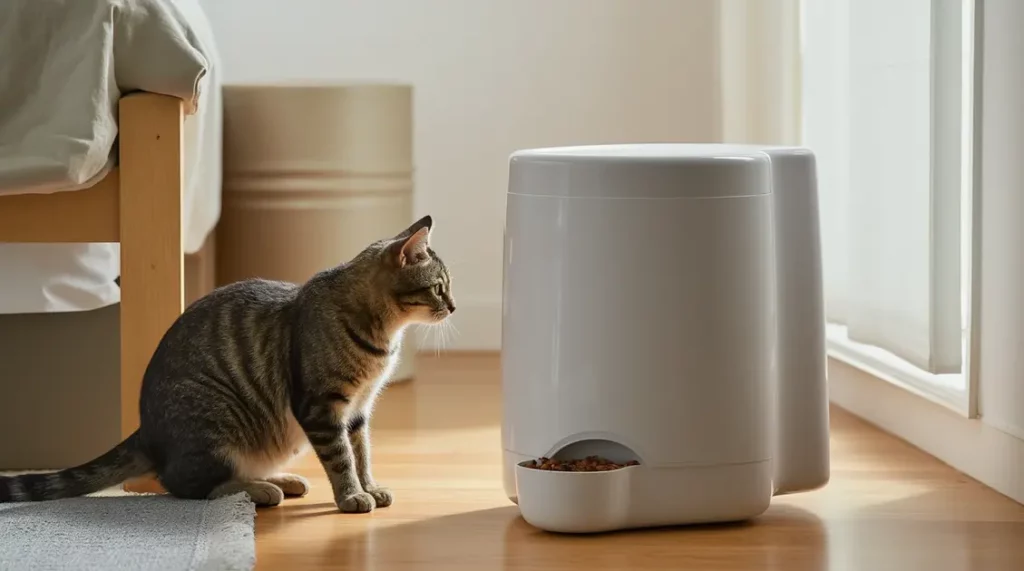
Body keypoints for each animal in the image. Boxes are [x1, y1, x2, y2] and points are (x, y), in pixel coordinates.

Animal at [0, 215, 456, 515]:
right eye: (438, 288)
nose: (453, 307)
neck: (382, 338)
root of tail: (147, 432)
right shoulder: (322, 408)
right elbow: (342, 458)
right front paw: (350, 496)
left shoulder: (359, 410)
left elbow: (362, 454)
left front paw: (371, 487)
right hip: (216, 418)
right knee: (184, 484)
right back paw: (259, 490)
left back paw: (278, 480)